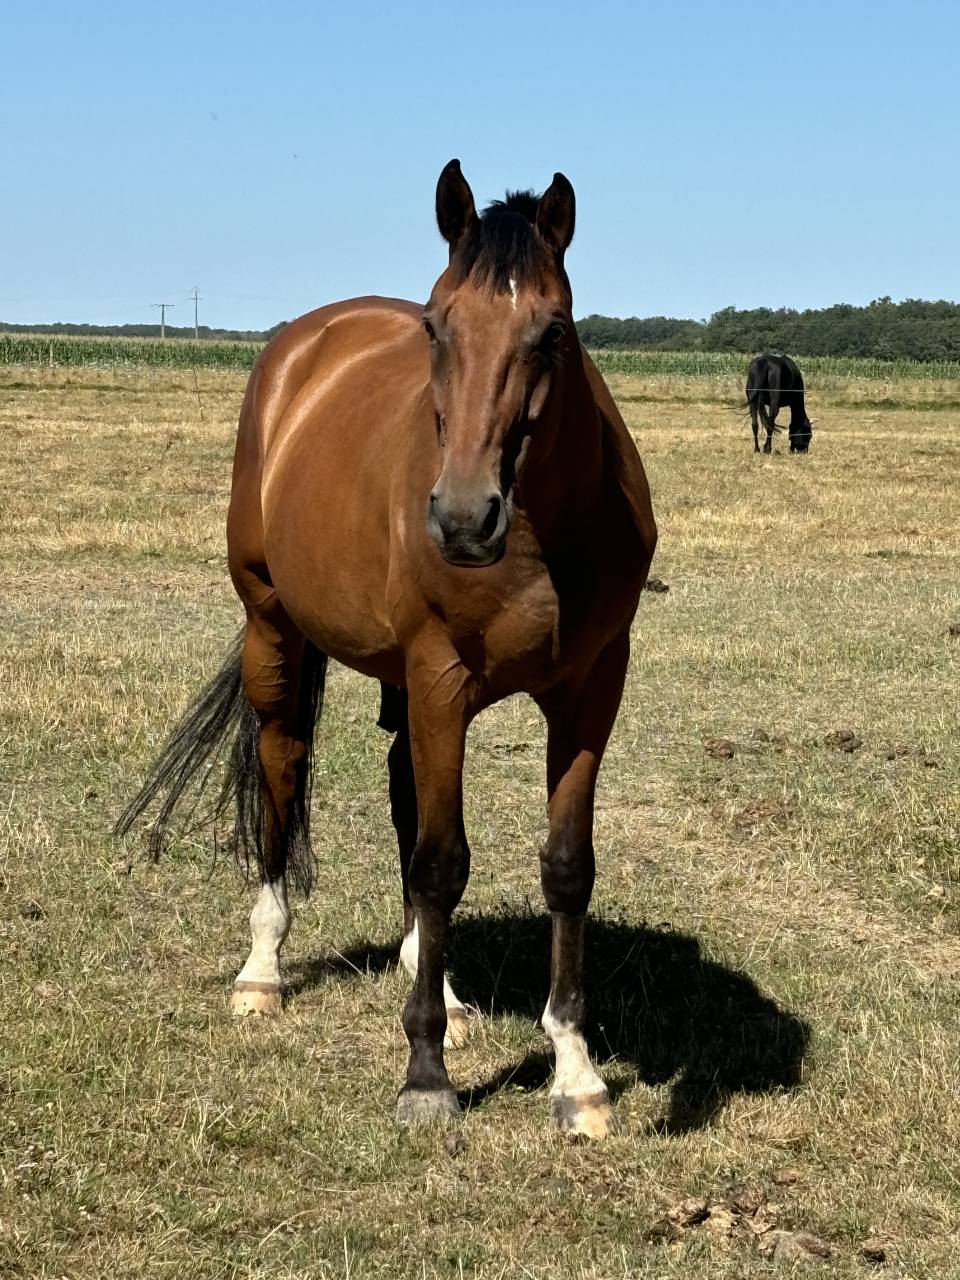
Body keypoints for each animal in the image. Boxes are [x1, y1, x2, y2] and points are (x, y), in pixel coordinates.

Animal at [117, 160, 658, 1138]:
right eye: (438, 326)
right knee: (284, 767)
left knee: (408, 792)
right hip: (275, 630)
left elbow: (563, 867)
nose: (464, 518)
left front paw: (576, 1072)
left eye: (553, 330)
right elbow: (442, 862)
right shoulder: (441, 676)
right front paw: (426, 1077)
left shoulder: (591, 690)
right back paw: (263, 970)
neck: (541, 539)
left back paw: (435, 984)